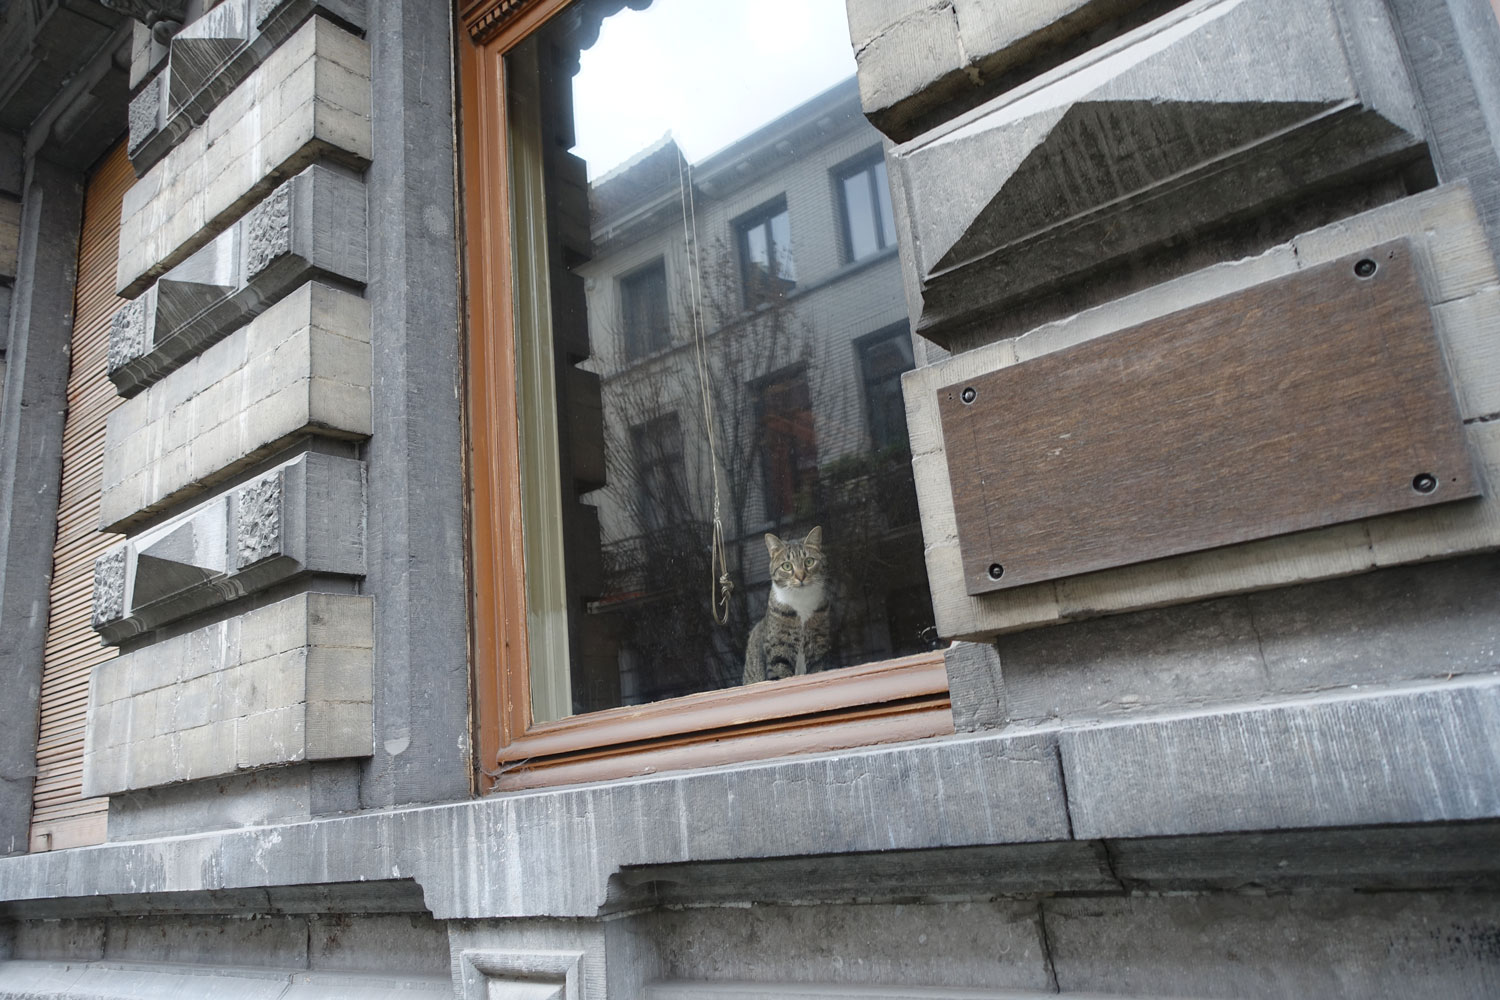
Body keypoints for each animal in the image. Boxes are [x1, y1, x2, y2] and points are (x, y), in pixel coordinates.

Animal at [741, 527, 834, 683]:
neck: (801, 600)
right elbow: (781, 674)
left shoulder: (818, 644)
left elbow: (817, 671)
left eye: (809, 561)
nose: (801, 576)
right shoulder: (778, 645)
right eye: (787, 566)